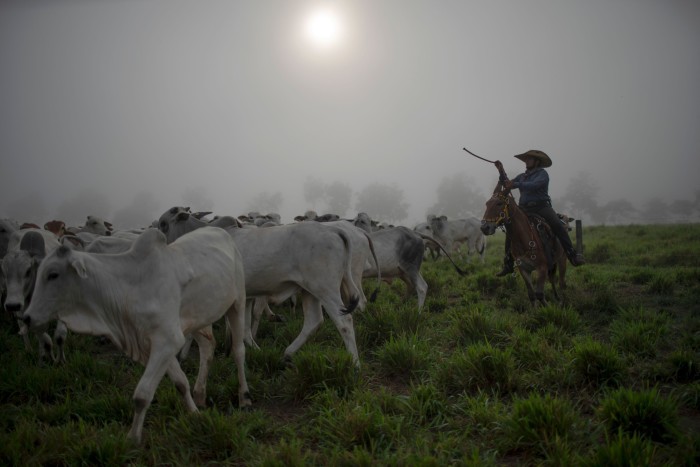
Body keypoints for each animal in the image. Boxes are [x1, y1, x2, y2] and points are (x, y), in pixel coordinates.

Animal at [21, 227, 252, 442]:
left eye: (53, 274)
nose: (27, 318)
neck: (129, 289)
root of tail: (222, 231)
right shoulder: (156, 344)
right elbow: (180, 382)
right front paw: (195, 412)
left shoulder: (168, 341)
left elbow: (142, 395)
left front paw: (133, 439)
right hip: (199, 317)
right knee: (207, 348)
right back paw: (200, 394)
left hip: (238, 303)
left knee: (239, 351)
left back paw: (245, 397)